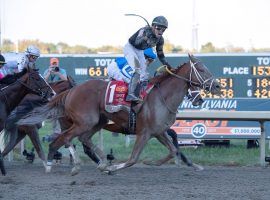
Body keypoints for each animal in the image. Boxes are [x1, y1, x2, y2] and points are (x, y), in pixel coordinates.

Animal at [17, 54, 221, 174]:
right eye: (201, 69)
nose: (218, 86)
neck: (161, 96)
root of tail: (70, 91)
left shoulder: (158, 131)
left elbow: (173, 150)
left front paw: (154, 163)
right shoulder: (144, 132)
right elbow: (132, 159)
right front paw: (115, 167)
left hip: (97, 121)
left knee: (81, 139)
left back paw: (95, 162)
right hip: (84, 121)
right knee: (66, 139)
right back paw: (70, 164)